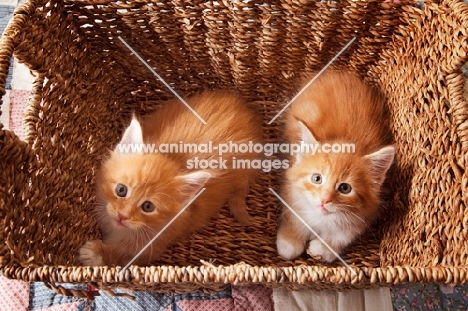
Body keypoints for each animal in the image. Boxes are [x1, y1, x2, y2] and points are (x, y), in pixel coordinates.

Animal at [79, 91, 264, 266]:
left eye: (148, 206)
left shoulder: (153, 246)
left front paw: (98, 253)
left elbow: (124, 257)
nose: (122, 216)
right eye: (121, 190)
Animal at [276, 72, 396, 264]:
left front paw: (324, 248)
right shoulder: (291, 190)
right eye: (316, 178)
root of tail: (338, 73)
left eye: (345, 188)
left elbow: (343, 235)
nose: (325, 200)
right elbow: (294, 218)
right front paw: (289, 242)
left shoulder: (364, 216)